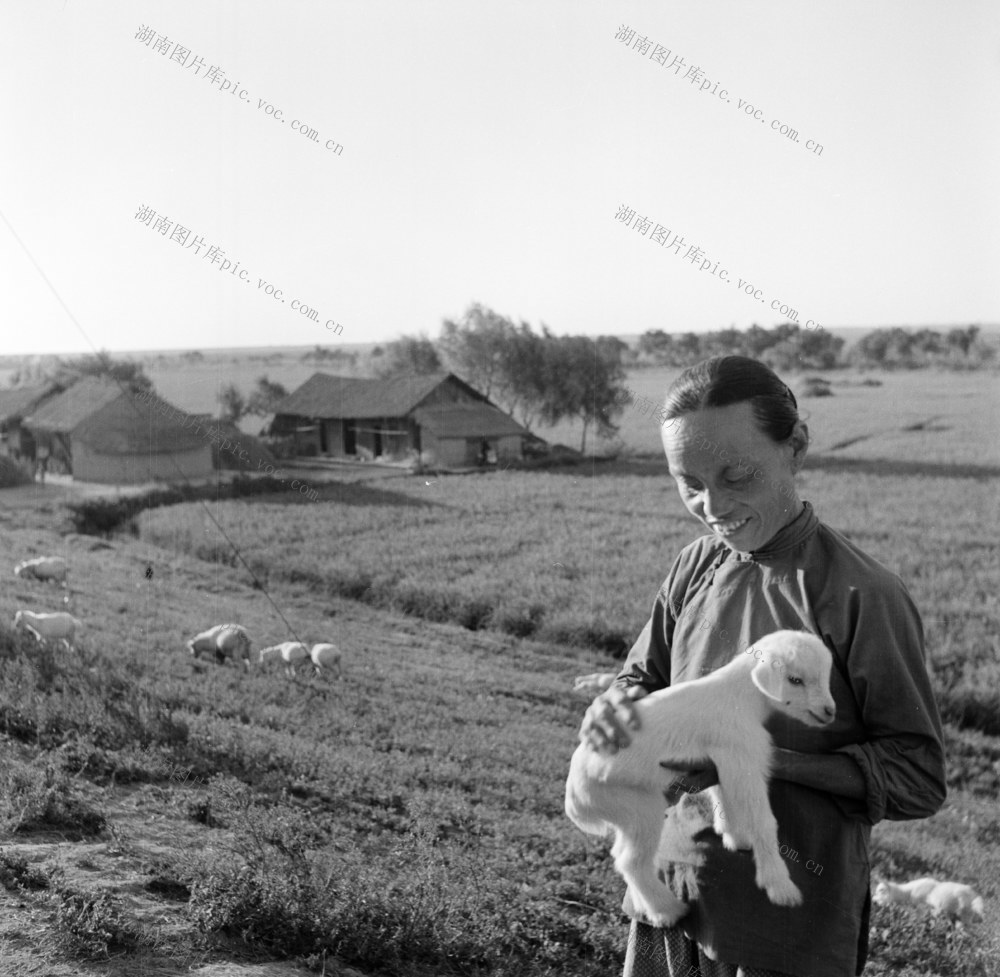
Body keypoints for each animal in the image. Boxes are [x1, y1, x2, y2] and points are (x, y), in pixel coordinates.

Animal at [564, 629, 836, 928]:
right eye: (795, 680)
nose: (829, 711)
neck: (743, 698)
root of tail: (574, 800)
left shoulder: (724, 759)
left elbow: (724, 794)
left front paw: (734, 836)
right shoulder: (742, 755)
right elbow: (762, 820)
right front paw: (779, 885)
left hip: (626, 812)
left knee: (621, 856)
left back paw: (647, 906)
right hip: (634, 804)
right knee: (631, 862)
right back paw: (668, 911)